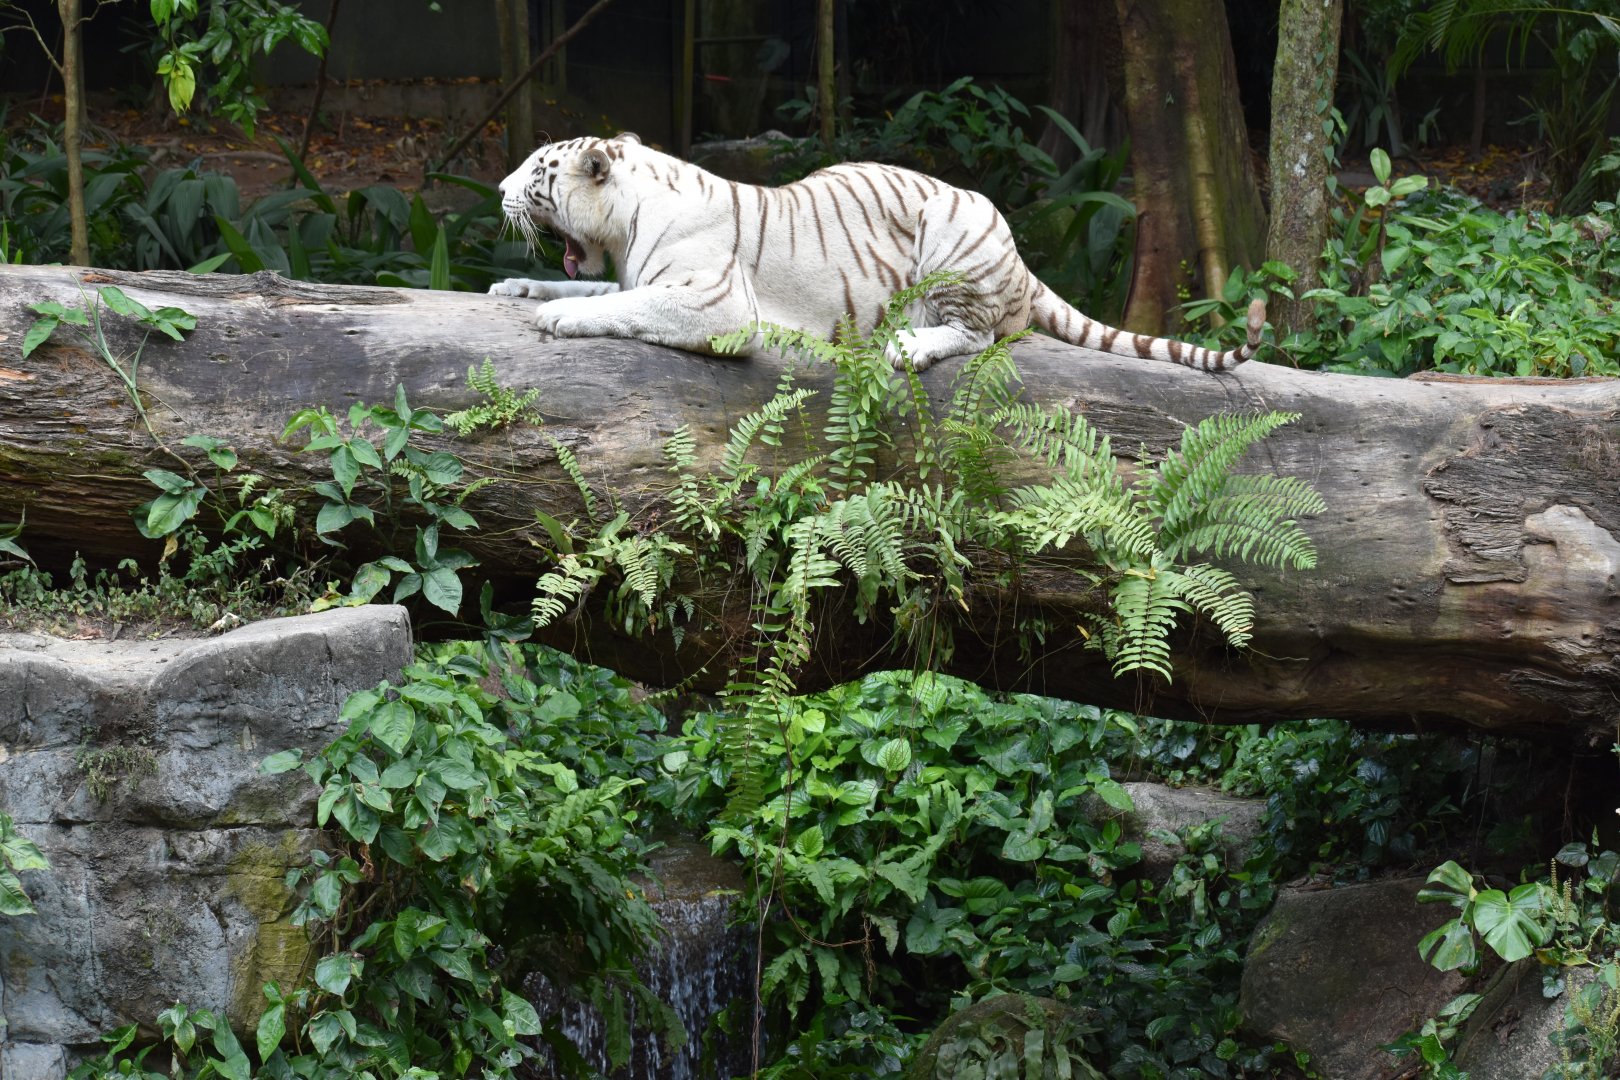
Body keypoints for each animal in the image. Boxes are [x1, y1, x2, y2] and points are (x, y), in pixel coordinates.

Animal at [489, 132, 1264, 374]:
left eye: (534, 172)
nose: (497, 189)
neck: (621, 224)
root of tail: (1021, 260)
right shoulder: (625, 274)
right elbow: (593, 288)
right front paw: (518, 290)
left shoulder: (717, 303)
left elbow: (628, 306)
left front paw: (558, 321)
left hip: (953, 232)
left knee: (981, 334)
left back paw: (909, 346)